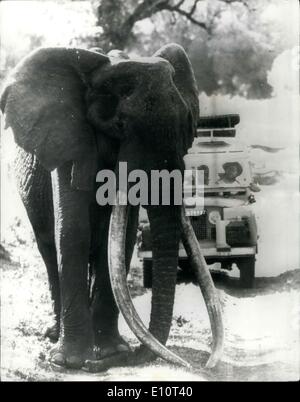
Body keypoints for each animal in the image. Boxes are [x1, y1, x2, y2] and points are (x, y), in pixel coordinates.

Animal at [0, 43, 223, 370]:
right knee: (48, 248)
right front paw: (70, 362)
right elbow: (73, 231)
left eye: (186, 125)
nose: (139, 356)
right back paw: (55, 336)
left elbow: (122, 239)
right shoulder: (69, 138)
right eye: (119, 126)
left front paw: (110, 355)